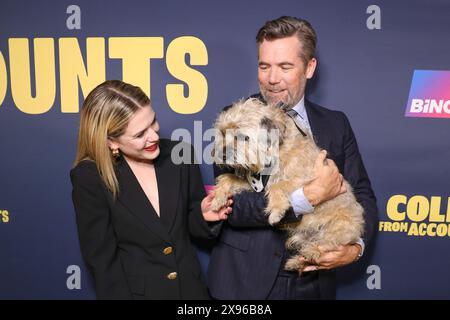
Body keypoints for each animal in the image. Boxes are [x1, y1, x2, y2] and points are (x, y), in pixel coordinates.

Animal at [212, 98, 366, 272]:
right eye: (222, 132)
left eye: (242, 137)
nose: (221, 155)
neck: (275, 148)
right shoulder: (255, 182)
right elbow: (227, 178)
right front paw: (217, 198)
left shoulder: (310, 178)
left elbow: (277, 186)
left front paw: (276, 212)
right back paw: (295, 262)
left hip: (338, 229)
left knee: (324, 247)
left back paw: (310, 252)